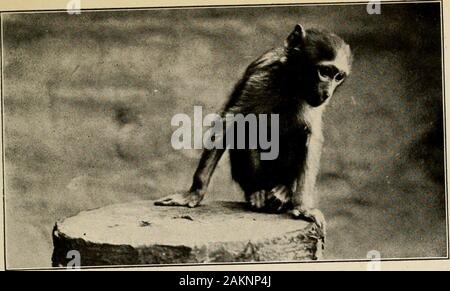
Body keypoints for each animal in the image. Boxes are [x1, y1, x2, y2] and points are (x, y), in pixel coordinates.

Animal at [155, 22, 352, 234]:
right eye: (324, 71)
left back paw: (283, 191)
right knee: (247, 129)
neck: (290, 83)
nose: (327, 92)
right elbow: (231, 121)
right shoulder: (259, 77)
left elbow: (311, 136)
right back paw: (256, 192)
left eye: (338, 76)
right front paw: (194, 192)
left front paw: (303, 207)